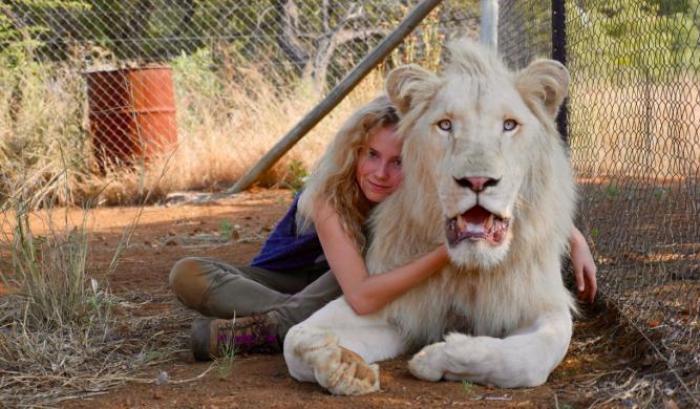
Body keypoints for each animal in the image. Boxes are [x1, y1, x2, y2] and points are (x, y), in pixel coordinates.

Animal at [282, 39, 576, 394]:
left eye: (509, 125)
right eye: (445, 125)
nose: (477, 181)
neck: (468, 270)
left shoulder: (543, 304)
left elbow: (528, 359)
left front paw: (439, 356)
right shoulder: (392, 302)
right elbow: (295, 337)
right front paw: (343, 366)